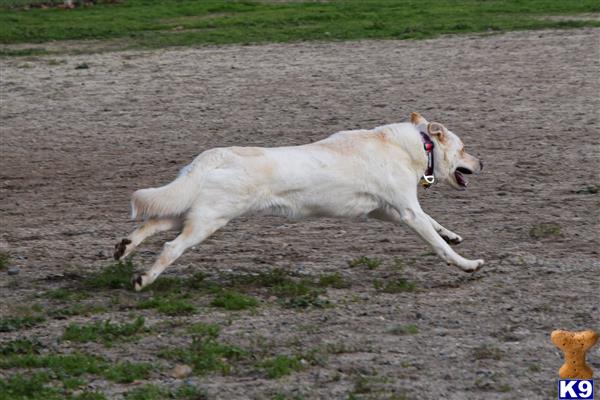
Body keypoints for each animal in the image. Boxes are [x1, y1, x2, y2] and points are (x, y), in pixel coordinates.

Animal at [115, 112, 486, 290]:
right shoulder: (407, 211)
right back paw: (143, 280)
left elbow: (436, 225)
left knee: (153, 222)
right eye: (465, 147)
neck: (414, 147)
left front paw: (453, 234)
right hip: (209, 220)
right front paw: (467, 264)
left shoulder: (388, 212)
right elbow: (438, 244)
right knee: (170, 247)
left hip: (195, 210)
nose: (483, 163)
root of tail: (215, 156)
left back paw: (124, 248)